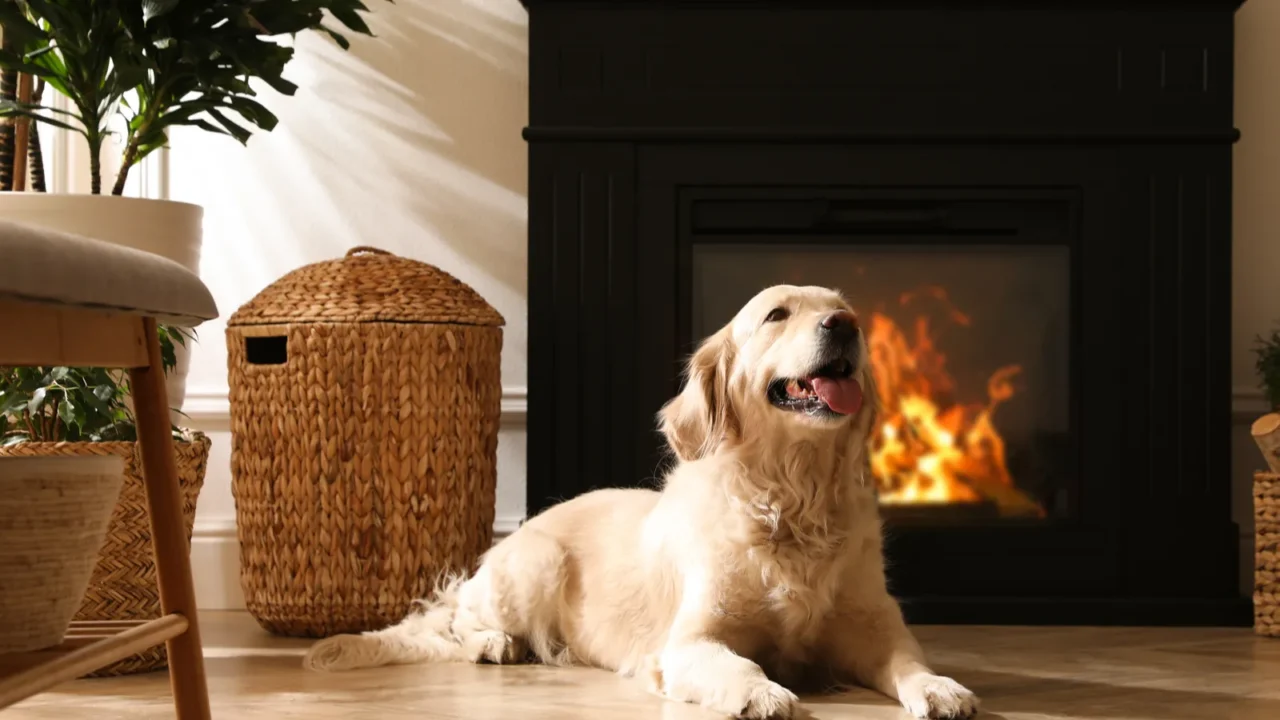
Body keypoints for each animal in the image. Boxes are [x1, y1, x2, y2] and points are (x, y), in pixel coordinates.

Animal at [302, 284, 977, 717]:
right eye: (777, 314)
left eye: (845, 311)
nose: (847, 327)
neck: (794, 496)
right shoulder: (690, 643)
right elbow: (743, 666)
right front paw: (762, 693)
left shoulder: (874, 628)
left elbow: (910, 661)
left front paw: (941, 688)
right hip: (535, 563)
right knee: (458, 621)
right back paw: (497, 643)